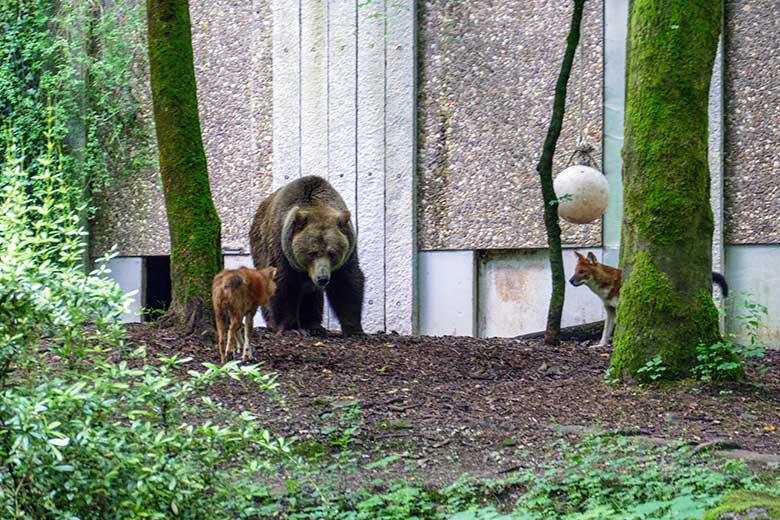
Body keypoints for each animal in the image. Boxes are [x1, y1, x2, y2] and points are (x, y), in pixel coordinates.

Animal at [250, 176, 366, 338]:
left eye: (332, 253)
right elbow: (283, 284)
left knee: (312, 295)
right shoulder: (282, 248)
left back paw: (314, 325)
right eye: (312, 252)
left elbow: (347, 283)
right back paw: (274, 324)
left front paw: (354, 329)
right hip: (260, 245)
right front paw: (290, 328)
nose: (322, 278)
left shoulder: (349, 249)